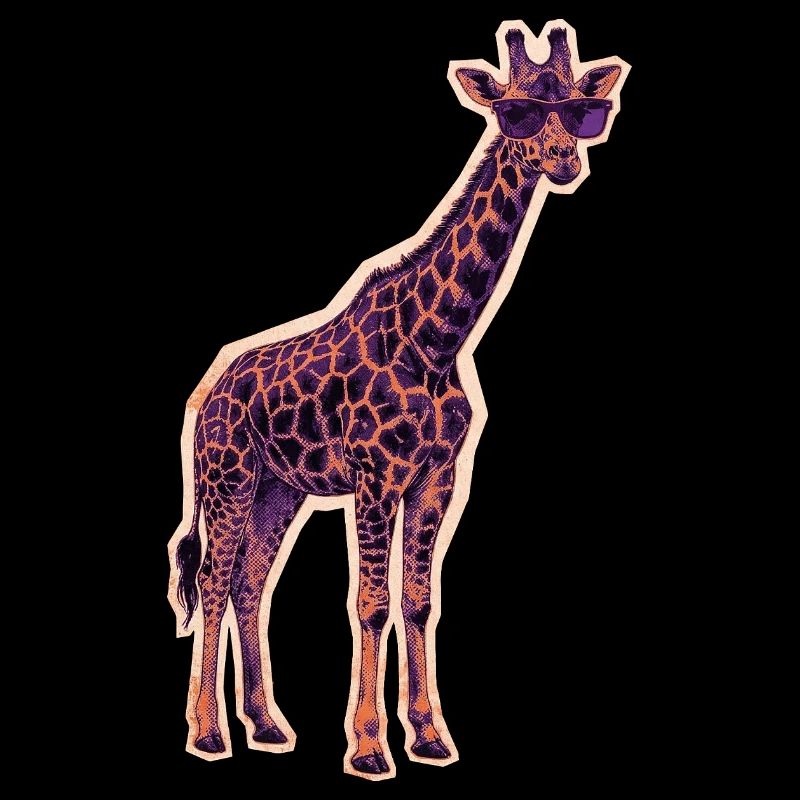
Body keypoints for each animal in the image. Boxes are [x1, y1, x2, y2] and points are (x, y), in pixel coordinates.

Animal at [168, 20, 627, 780]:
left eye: (583, 113)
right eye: (515, 112)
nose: (564, 163)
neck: (439, 340)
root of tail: (206, 397)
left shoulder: (437, 477)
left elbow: (418, 600)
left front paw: (430, 736)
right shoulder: (376, 477)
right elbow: (371, 602)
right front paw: (368, 747)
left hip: (278, 489)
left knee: (250, 583)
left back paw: (267, 725)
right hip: (227, 477)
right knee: (212, 577)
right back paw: (207, 734)